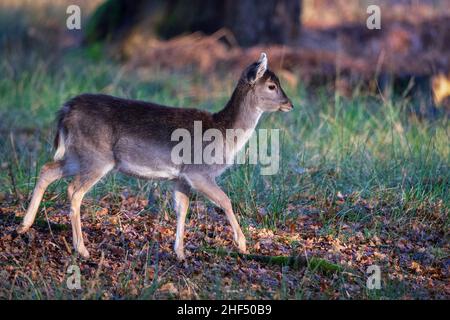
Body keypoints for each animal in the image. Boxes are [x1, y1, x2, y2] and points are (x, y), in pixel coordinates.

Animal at [16, 52, 292, 262]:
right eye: (271, 86)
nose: (290, 104)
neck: (224, 133)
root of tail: (66, 109)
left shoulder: (180, 178)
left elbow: (182, 209)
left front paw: (180, 253)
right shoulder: (198, 171)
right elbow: (225, 200)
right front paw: (242, 243)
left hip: (79, 154)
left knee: (47, 169)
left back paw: (24, 225)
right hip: (97, 157)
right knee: (74, 190)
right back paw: (82, 249)